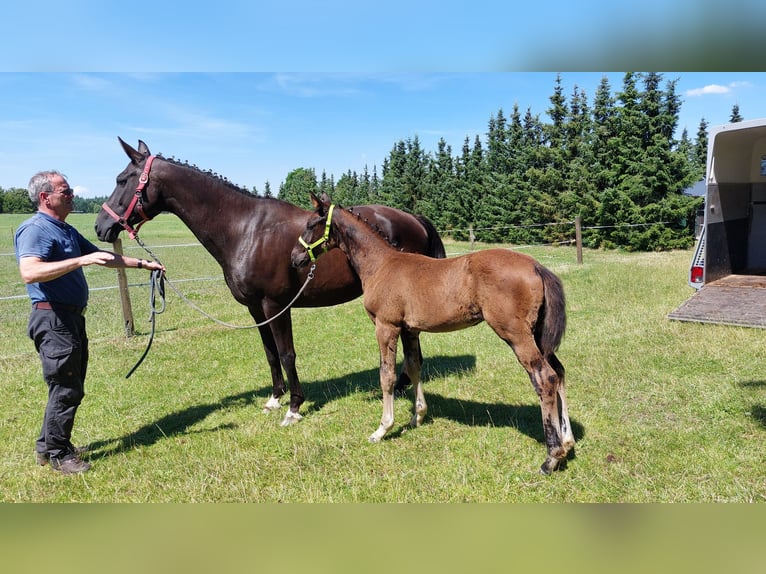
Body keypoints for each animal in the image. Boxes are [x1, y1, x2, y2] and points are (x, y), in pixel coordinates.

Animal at [94, 140, 448, 428]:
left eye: (122, 180)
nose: (101, 226)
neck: (244, 229)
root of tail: (413, 217)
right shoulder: (255, 308)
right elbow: (269, 353)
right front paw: (275, 399)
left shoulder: (276, 305)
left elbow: (287, 353)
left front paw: (294, 408)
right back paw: (402, 382)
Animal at [294, 194, 576, 476]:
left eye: (311, 224)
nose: (295, 258)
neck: (381, 265)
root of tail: (537, 266)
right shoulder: (410, 330)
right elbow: (414, 367)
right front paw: (417, 417)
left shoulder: (386, 326)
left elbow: (387, 375)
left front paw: (382, 429)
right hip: (538, 334)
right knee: (559, 372)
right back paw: (568, 442)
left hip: (516, 334)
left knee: (545, 378)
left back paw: (551, 457)